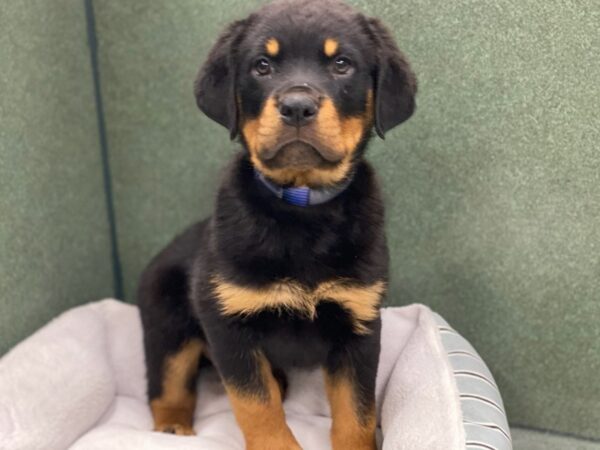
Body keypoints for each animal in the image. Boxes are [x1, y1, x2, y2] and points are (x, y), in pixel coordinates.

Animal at [138, 0, 414, 448]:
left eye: (342, 64)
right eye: (262, 65)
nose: (297, 106)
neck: (301, 207)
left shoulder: (358, 324)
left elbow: (356, 411)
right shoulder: (227, 321)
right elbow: (257, 403)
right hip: (168, 320)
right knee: (167, 383)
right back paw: (173, 428)